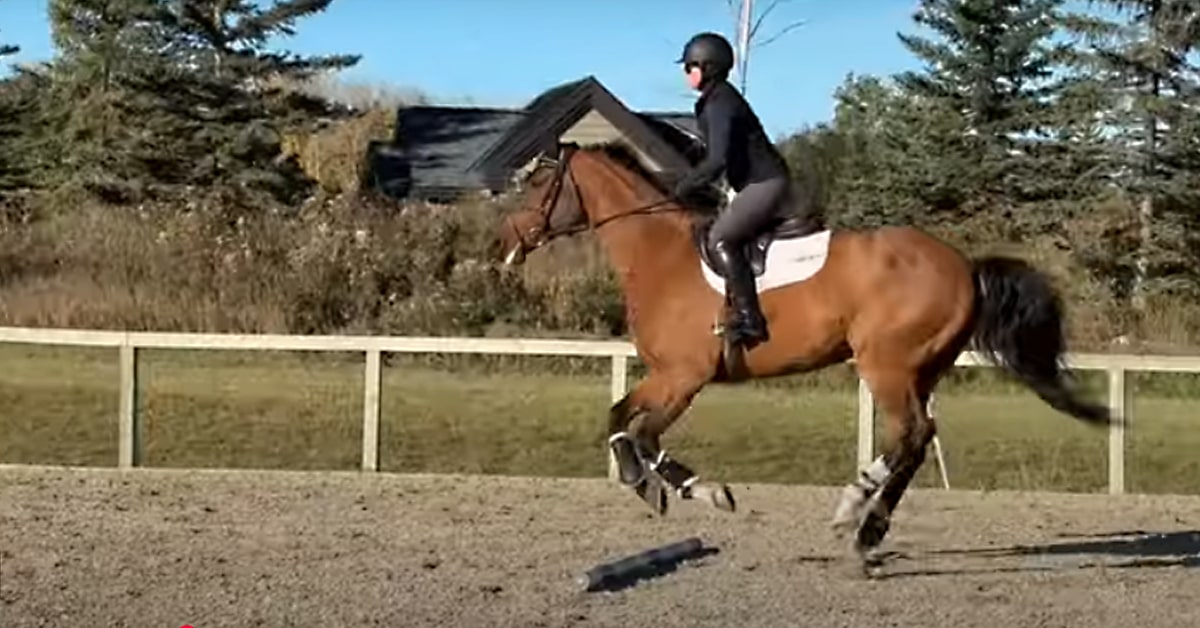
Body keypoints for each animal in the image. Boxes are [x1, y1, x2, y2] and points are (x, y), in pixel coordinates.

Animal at [494, 141, 1111, 569]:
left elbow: (642, 432)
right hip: (920, 367)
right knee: (914, 436)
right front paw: (645, 483)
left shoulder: (685, 375)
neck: (660, 255)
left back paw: (863, 527)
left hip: (887, 364)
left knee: (913, 434)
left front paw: (694, 491)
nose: (505, 242)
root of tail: (964, 265)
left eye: (540, 183)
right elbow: (618, 416)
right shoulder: (667, 375)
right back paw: (856, 511)